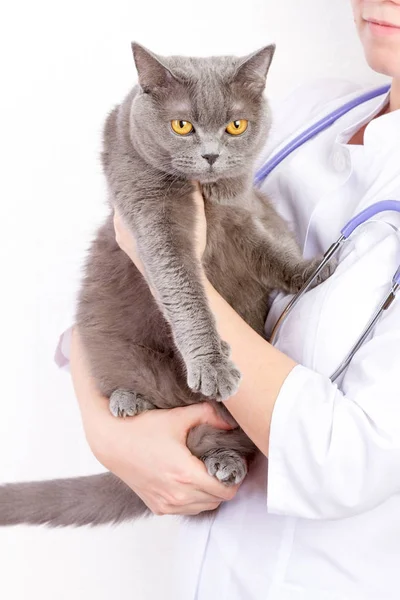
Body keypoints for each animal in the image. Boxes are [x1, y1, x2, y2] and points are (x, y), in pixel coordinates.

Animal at [0, 44, 332, 528]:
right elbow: (184, 289)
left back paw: (226, 463)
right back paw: (131, 404)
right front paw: (213, 368)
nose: (211, 155)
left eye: (236, 125)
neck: (205, 197)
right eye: (181, 125)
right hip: (117, 350)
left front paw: (313, 270)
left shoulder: (239, 215)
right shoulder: (152, 216)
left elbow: (268, 250)